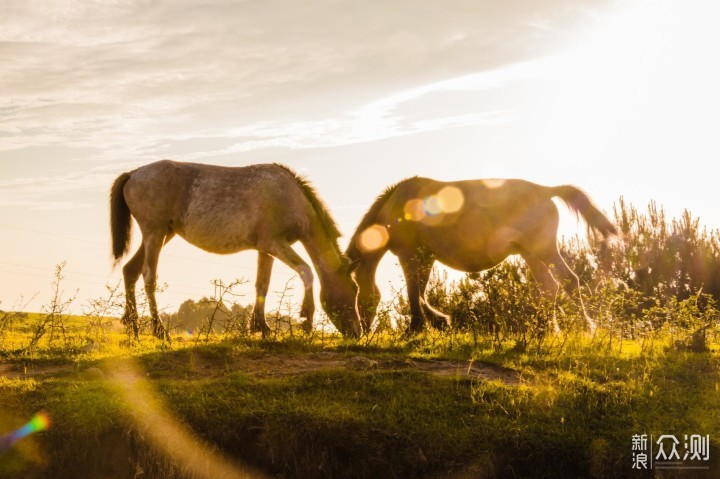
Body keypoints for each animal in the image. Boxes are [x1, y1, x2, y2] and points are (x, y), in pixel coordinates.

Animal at [110, 161, 362, 342]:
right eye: (353, 289)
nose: (358, 333)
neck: (288, 196)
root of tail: (133, 174)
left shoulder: (265, 250)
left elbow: (262, 285)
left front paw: (261, 327)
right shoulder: (275, 244)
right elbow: (306, 271)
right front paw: (306, 320)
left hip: (162, 234)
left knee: (130, 271)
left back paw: (133, 326)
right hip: (155, 234)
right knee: (148, 277)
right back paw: (159, 330)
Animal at [346, 177, 616, 334]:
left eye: (354, 291)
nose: (359, 331)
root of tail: (545, 191)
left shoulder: (410, 255)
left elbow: (414, 294)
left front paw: (416, 328)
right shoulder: (425, 258)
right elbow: (421, 293)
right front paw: (437, 321)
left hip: (543, 249)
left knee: (569, 281)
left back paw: (584, 328)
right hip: (531, 254)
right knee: (549, 287)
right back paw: (545, 329)